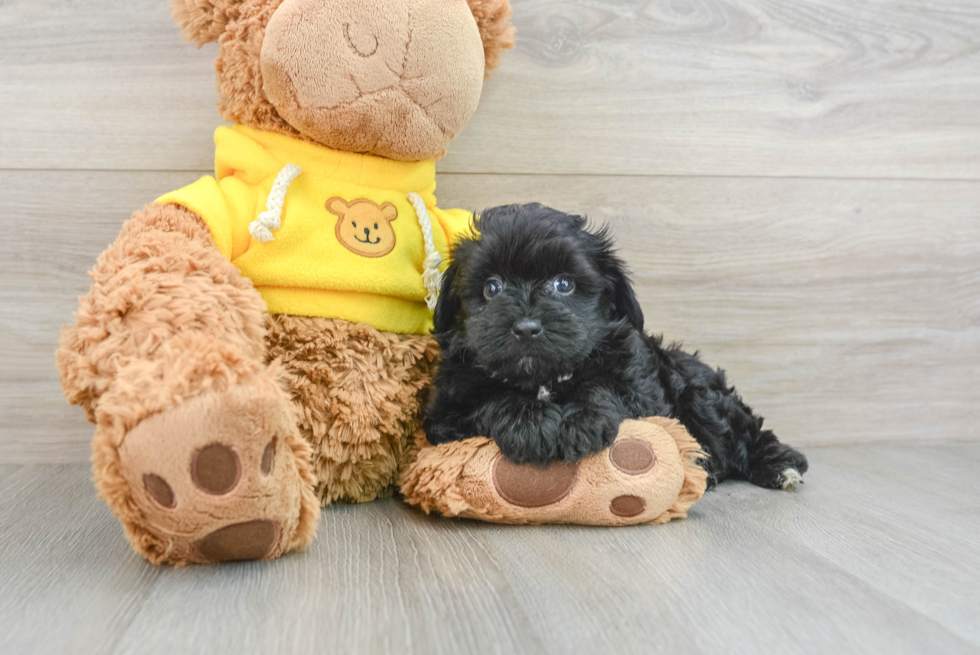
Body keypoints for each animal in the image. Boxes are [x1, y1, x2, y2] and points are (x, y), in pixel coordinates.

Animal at [424, 202, 808, 490]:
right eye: (492, 288)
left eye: (563, 284)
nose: (527, 328)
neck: (544, 378)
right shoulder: (445, 415)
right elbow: (492, 401)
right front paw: (531, 423)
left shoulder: (641, 391)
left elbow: (605, 388)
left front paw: (581, 421)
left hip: (699, 393)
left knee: (742, 430)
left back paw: (778, 465)